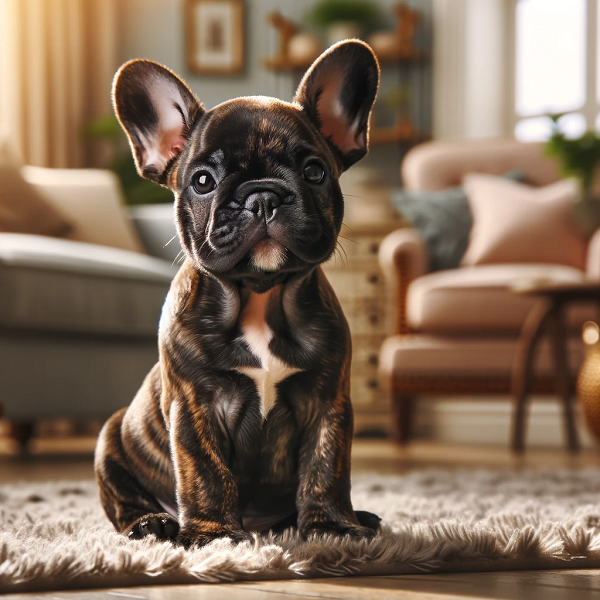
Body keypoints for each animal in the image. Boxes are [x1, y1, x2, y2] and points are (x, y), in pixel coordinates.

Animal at [96, 38, 382, 548]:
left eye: (315, 171)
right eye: (202, 181)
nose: (263, 195)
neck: (260, 296)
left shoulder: (327, 403)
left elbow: (326, 468)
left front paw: (331, 528)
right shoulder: (195, 406)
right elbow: (206, 474)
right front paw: (213, 537)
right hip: (111, 440)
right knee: (122, 498)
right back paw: (152, 524)